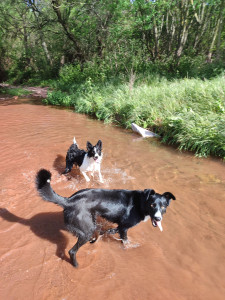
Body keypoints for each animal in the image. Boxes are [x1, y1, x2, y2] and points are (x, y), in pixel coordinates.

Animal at [35, 169, 176, 268]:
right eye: (152, 205)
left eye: (163, 206)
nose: (158, 218)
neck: (141, 202)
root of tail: (69, 200)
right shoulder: (125, 228)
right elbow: (125, 241)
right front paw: (128, 248)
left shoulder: (120, 226)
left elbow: (111, 231)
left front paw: (106, 233)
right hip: (86, 230)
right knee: (72, 251)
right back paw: (76, 265)